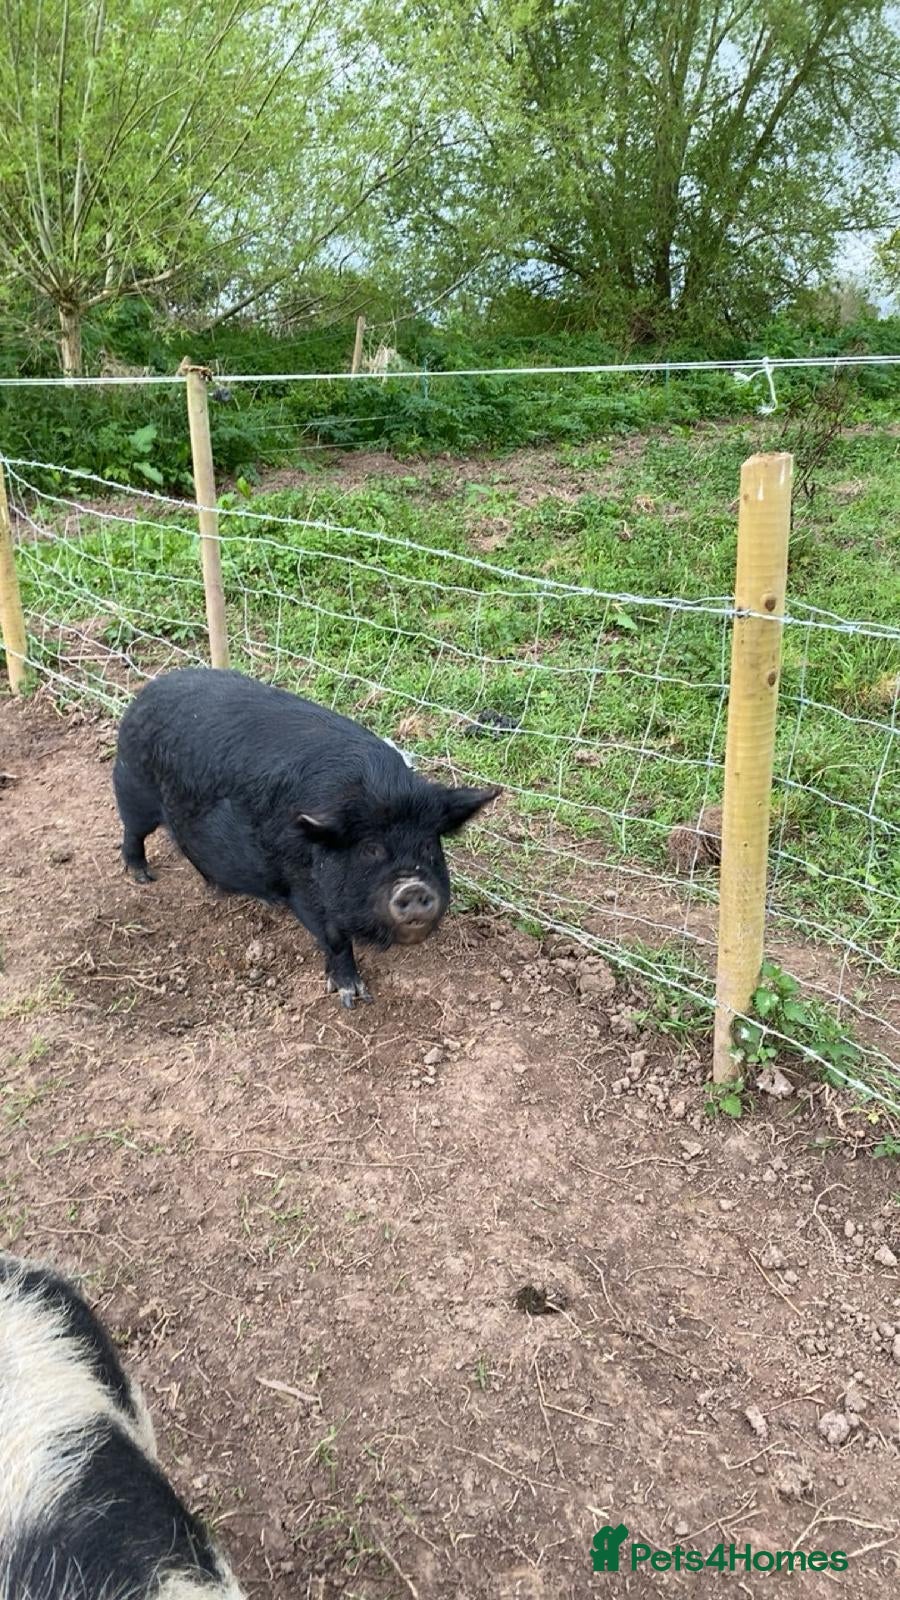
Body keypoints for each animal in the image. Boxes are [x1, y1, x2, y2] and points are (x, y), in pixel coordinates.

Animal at [113, 669, 499, 1007]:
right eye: (370, 849)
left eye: (429, 845)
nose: (413, 887)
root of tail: (146, 692)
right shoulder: (302, 885)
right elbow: (334, 938)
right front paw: (352, 997)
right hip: (133, 788)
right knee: (132, 832)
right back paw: (143, 876)